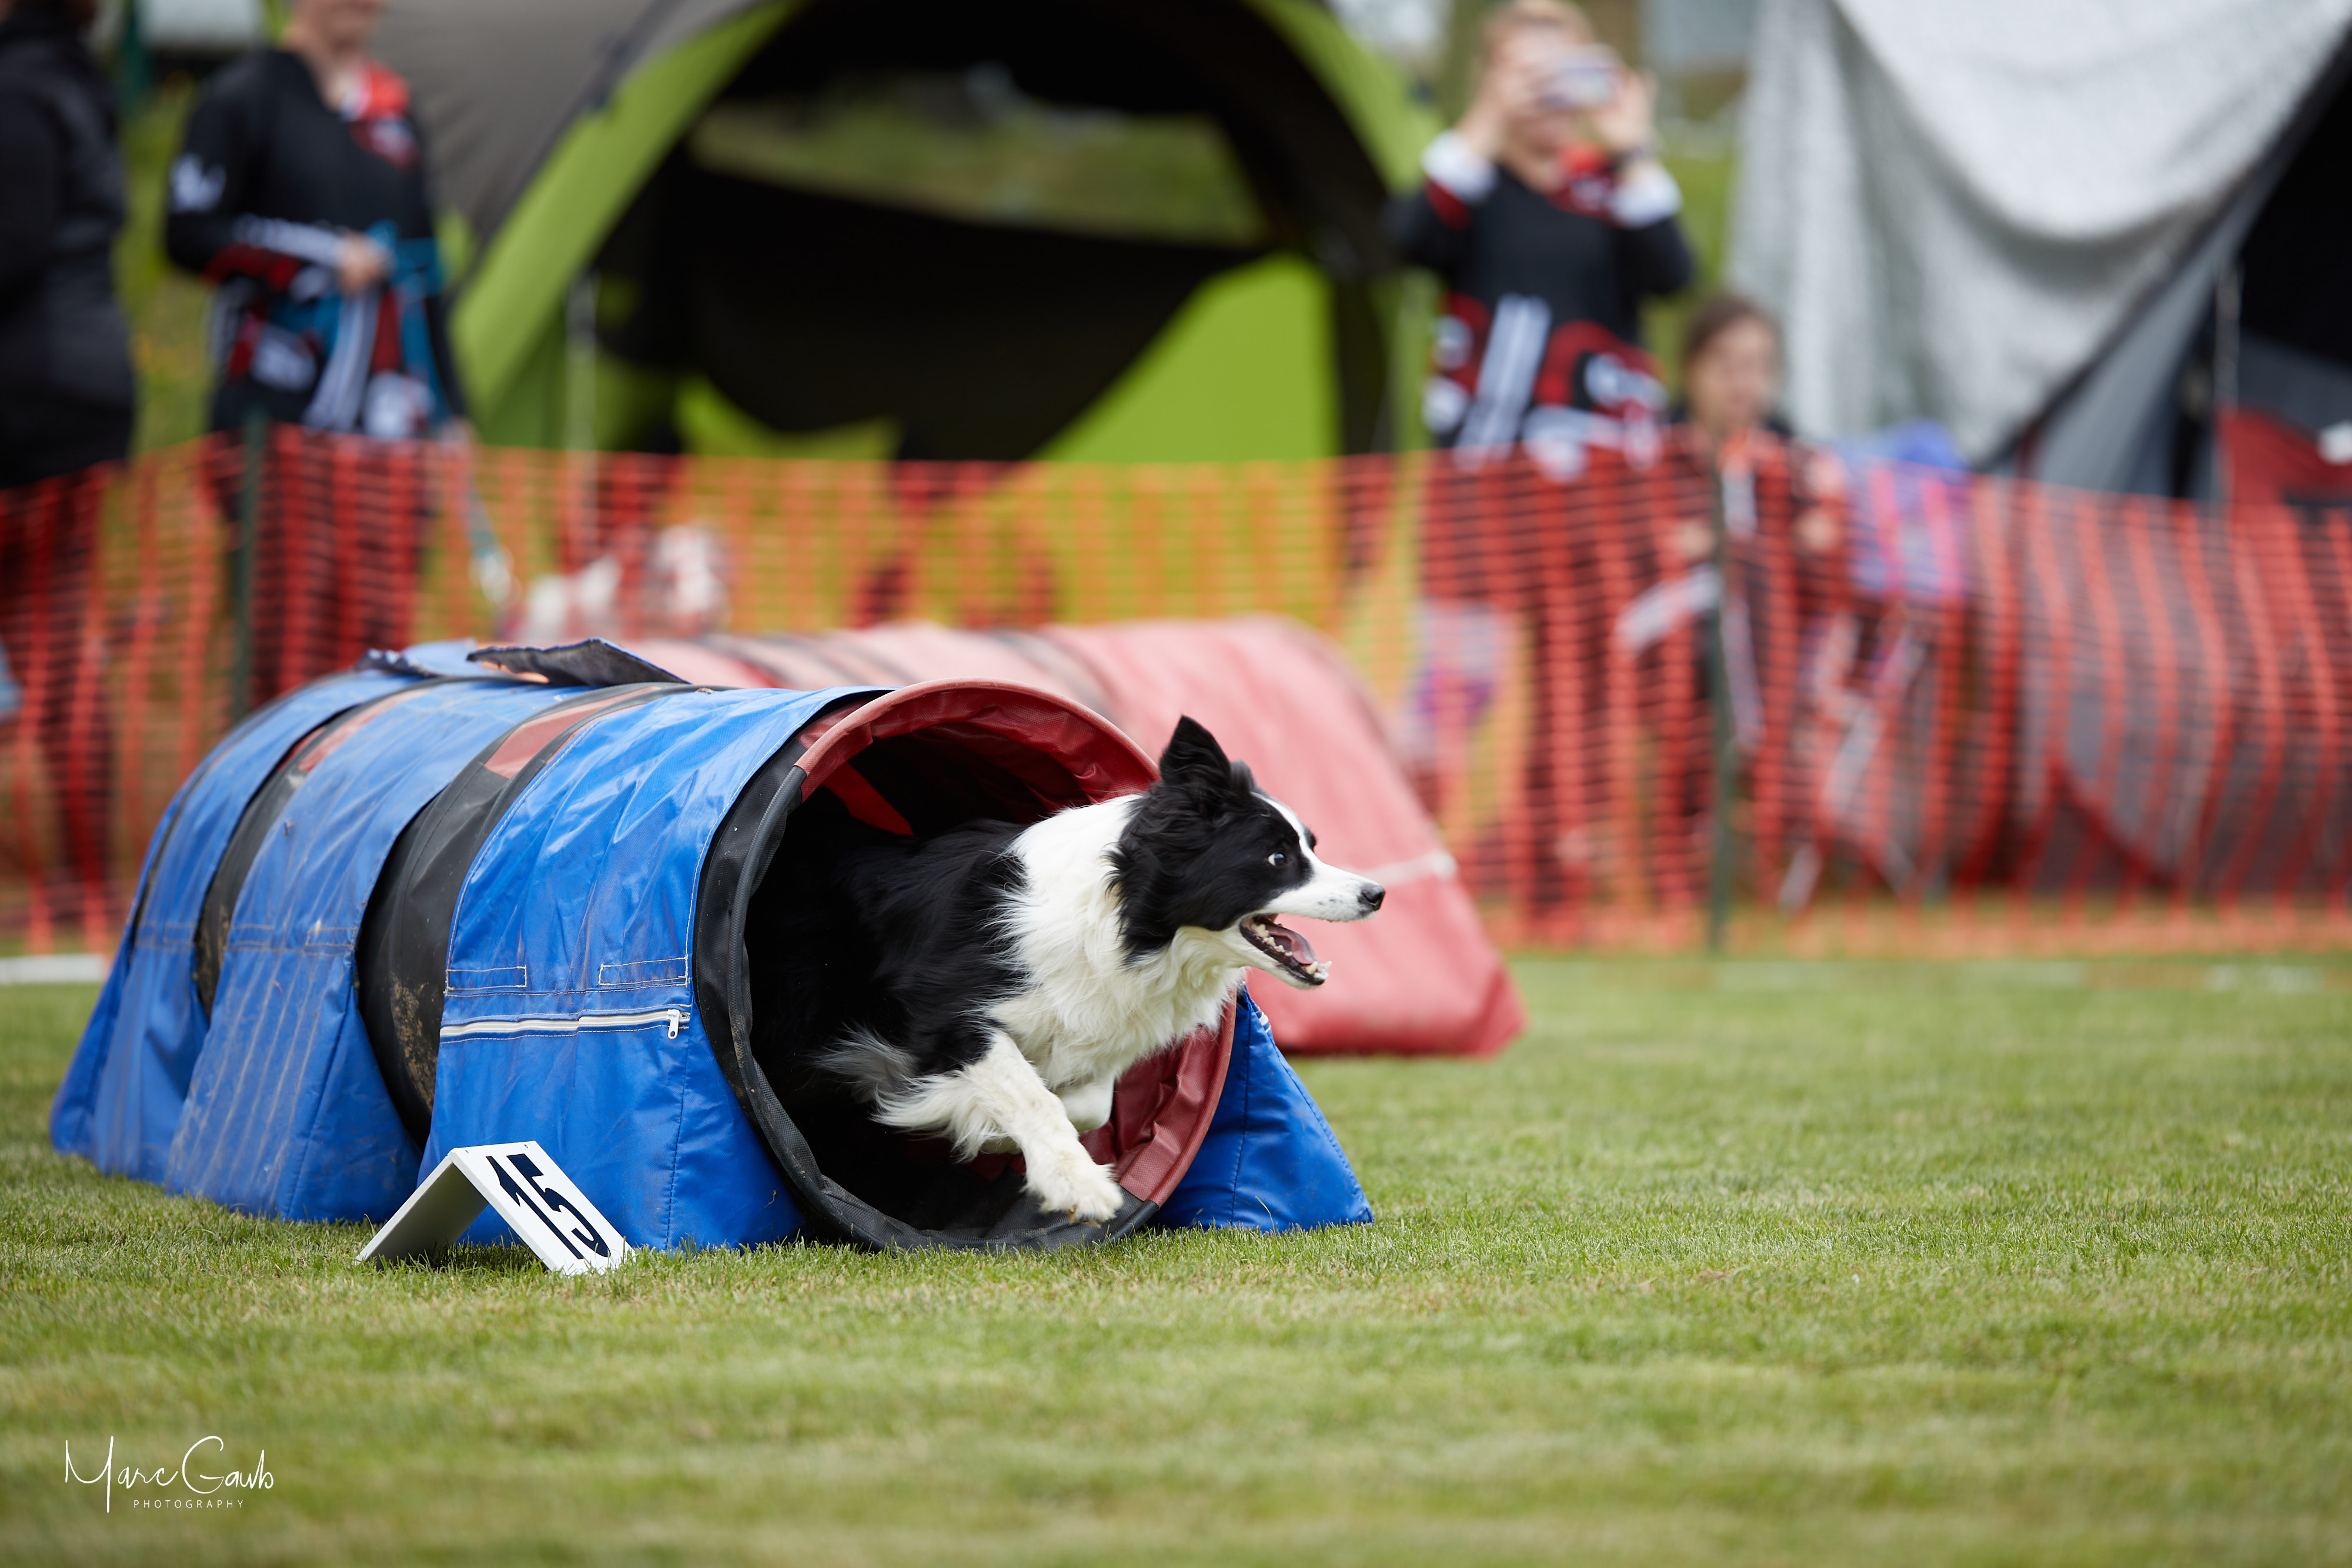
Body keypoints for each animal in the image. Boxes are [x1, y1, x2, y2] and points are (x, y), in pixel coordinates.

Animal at [761, 715, 1384, 1222]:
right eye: (1278, 857)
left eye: (1311, 845)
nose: (1376, 893)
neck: (1124, 919)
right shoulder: (945, 1009)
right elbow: (1032, 1095)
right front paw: (1078, 1183)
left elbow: (1083, 1104)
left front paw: (985, 1132)